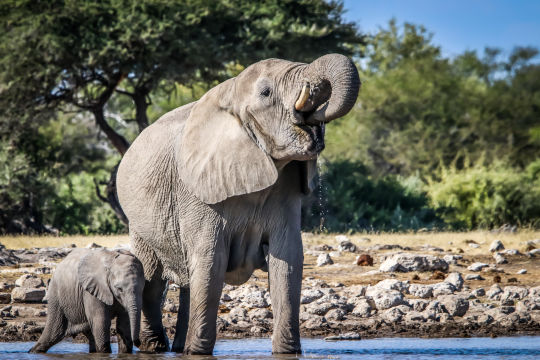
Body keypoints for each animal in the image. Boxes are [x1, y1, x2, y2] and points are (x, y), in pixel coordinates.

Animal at [116, 53, 360, 354]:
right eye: (266, 93)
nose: (313, 116)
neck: (230, 94)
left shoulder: (286, 192)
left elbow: (288, 261)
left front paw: (288, 352)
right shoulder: (198, 193)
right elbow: (211, 261)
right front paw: (197, 354)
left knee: (186, 282)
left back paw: (177, 347)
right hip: (139, 220)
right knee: (151, 281)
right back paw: (154, 347)